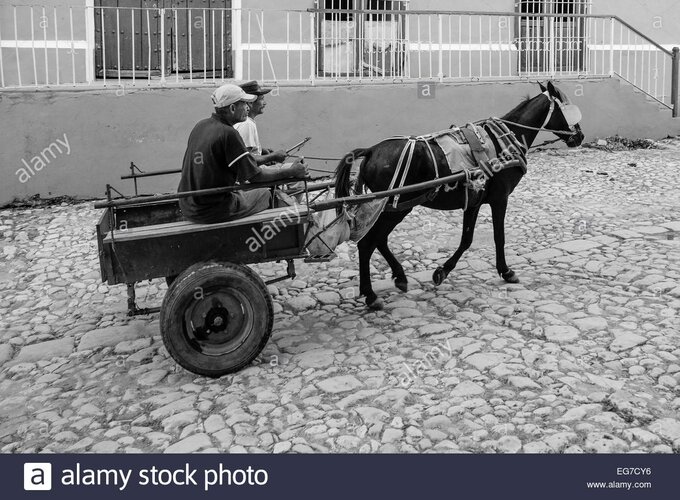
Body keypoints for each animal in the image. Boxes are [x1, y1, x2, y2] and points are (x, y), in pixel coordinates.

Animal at [334, 80, 584, 308]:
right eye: (568, 110)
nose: (580, 136)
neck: (503, 141)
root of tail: (371, 150)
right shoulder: (500, 199)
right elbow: (499, 237)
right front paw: (506, 271)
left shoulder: (474, 201)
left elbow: (466, 239)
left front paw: (442, 271)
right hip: (397, 206)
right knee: (368, 243)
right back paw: (370, 294)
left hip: (395, 207)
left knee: (379, 240)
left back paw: (400, 277)